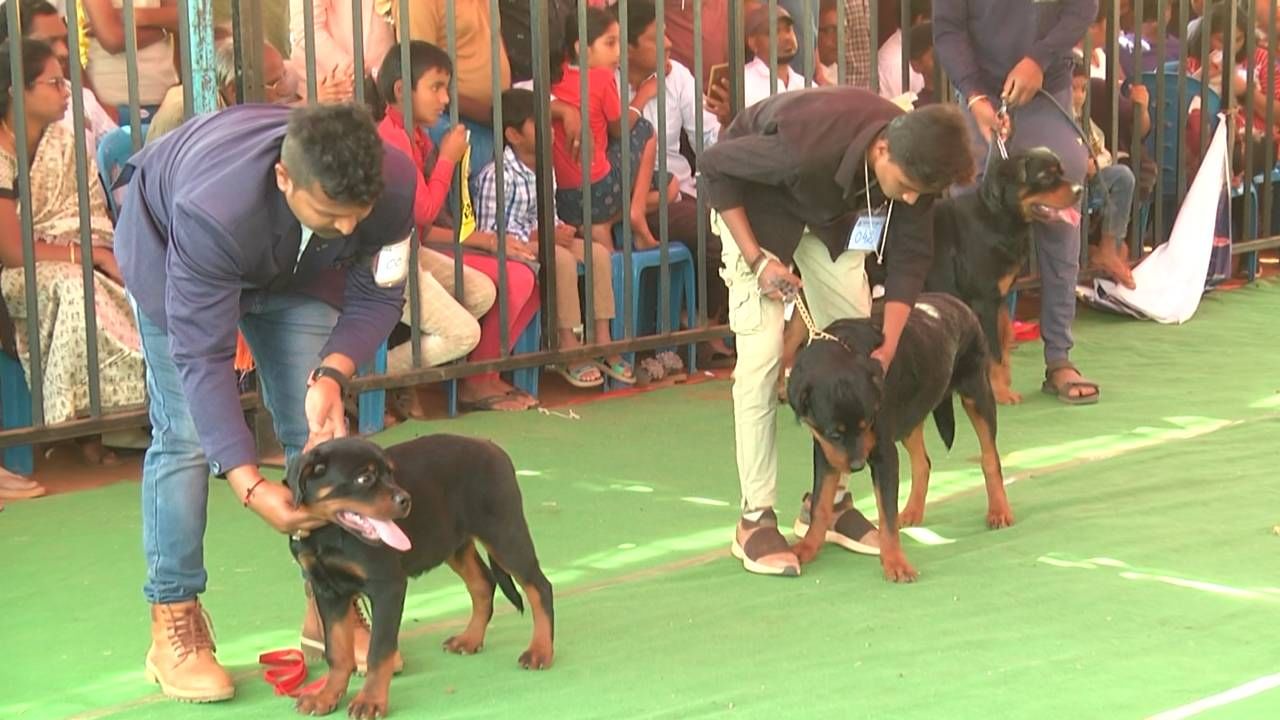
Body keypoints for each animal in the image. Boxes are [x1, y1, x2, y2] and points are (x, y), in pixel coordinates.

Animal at [286, 435, 555, 712]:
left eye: (391, 474)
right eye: (364, 478)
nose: (406, 500)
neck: (328, 532)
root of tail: (492, 447)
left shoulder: (387, 586)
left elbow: (379, 651)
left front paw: (370, 701)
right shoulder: (328, 591)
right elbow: (337, 652)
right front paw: (326, 696)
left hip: (504, 534)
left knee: (540, 587)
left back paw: (540, 651)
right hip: (452, 543)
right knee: (483, 583)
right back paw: (470, 639)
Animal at [783, 294, 1013, 579]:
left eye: (867, 423)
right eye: (835, 433)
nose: (857, 465)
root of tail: (954, 301)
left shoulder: (883, 453)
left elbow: (887, 515)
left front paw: (895, 562)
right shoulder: (826, 452)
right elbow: (820, 504)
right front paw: (809, 547)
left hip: (976, 392)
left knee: (989, 456)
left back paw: (999, 510)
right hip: (911, 414)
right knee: (922, 462)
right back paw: (913, 511)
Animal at [931, 146, 1080, 404]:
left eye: (1061, 171)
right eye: (1045, 176)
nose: (1080, 190)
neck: (998, 218)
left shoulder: (999, 300)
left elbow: (1003, 347)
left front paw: (1002, 386)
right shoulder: (985, 302)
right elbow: (994, 354)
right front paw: (1000, 393)